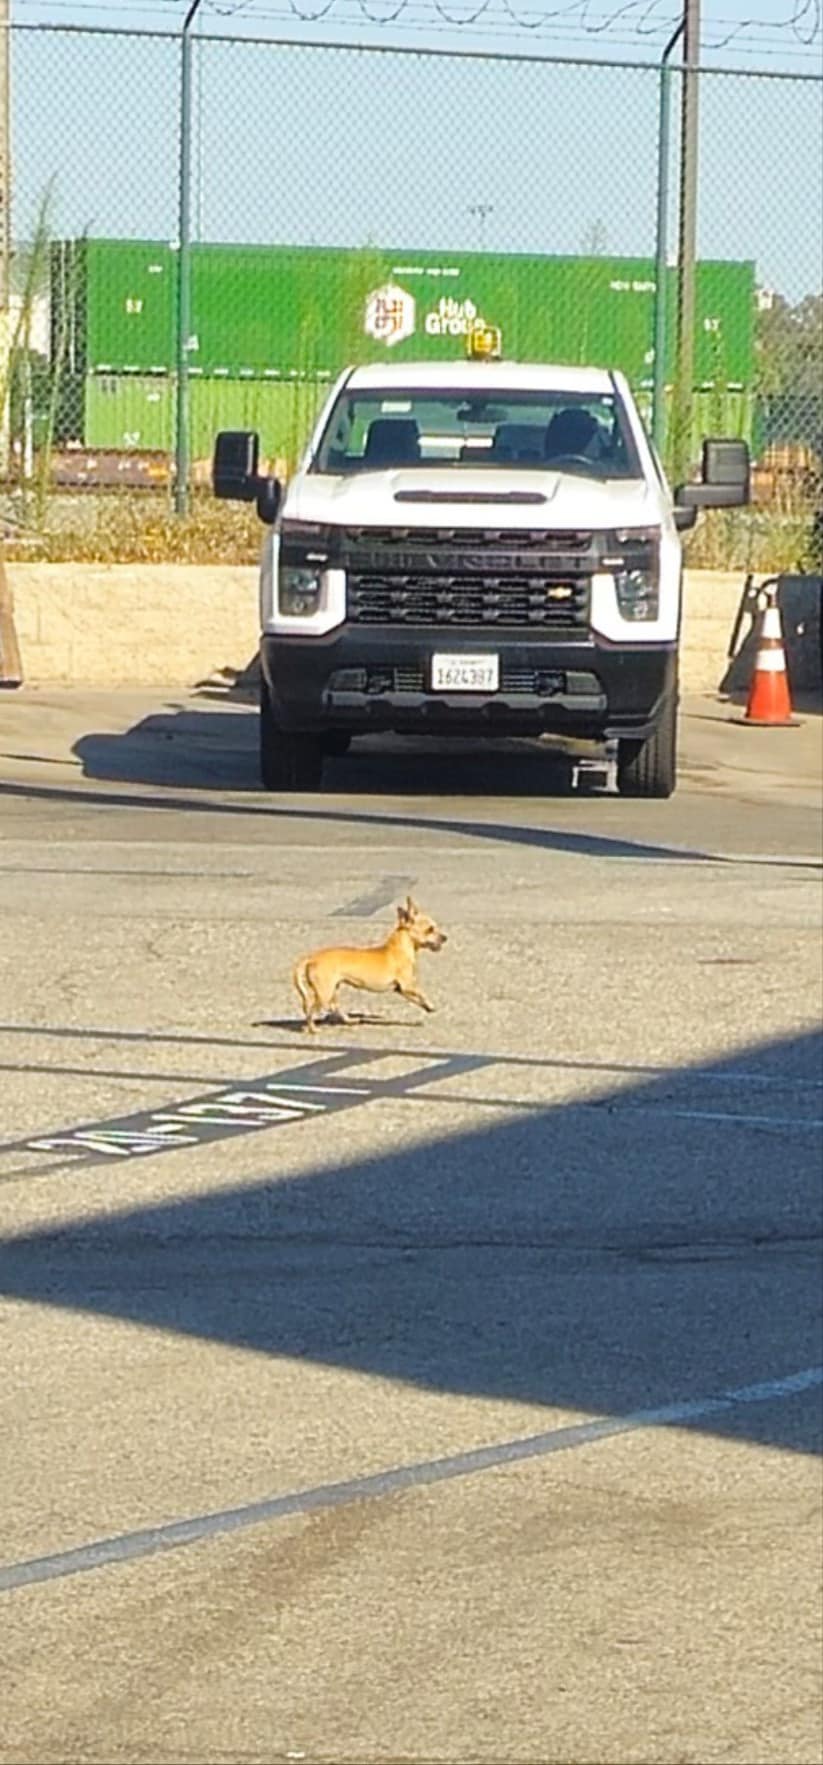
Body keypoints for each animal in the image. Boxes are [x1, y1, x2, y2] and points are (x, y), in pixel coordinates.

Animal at [293, 896, 446, 1030]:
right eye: (430, 929)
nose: (445, 937)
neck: (400, 948)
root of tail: (312, 957)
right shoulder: (407, 985)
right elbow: (421, 992)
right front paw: (430, 1004)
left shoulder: (401, 990)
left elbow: (417, 999)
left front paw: (428, 1007)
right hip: (324, 993)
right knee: (310, 1009)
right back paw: (312, 1028)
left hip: (331, 989)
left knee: (333, 1006)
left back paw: (349, 1020)